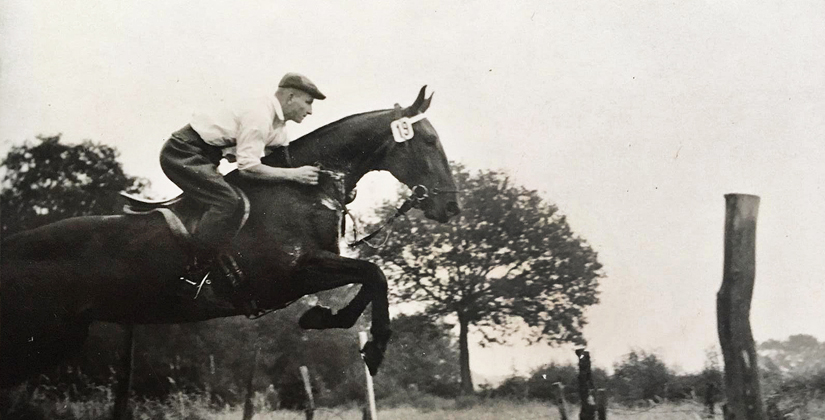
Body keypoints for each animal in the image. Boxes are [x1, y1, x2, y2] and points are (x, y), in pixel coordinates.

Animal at [0, 86, 458, 388]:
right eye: (429, 140)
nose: (451, 208)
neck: (303, 191)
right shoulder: (289, 275)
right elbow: (374, 273)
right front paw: (374, 347)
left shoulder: (311, 270)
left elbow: (368, 278)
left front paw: (322, 319)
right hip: (37, 335)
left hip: (57, 338)